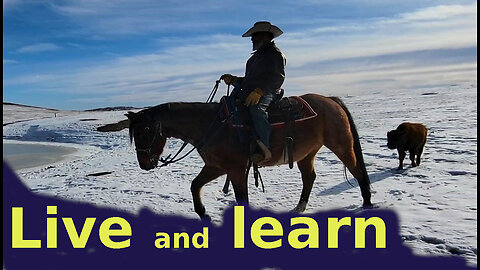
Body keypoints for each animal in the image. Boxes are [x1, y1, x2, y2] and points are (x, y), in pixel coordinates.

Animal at [99, 94, 374, 220]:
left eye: (145, 131)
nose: (144, 164)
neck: (209, 125)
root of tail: (331, 100)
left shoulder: (235, 169)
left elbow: (242, 199)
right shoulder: (217, 167)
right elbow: (195, 185)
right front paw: (203, 214)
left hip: (340, 144)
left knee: (358, 171)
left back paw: (367, 204)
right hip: (307, 153)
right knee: (309, 178)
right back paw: (299, 207)